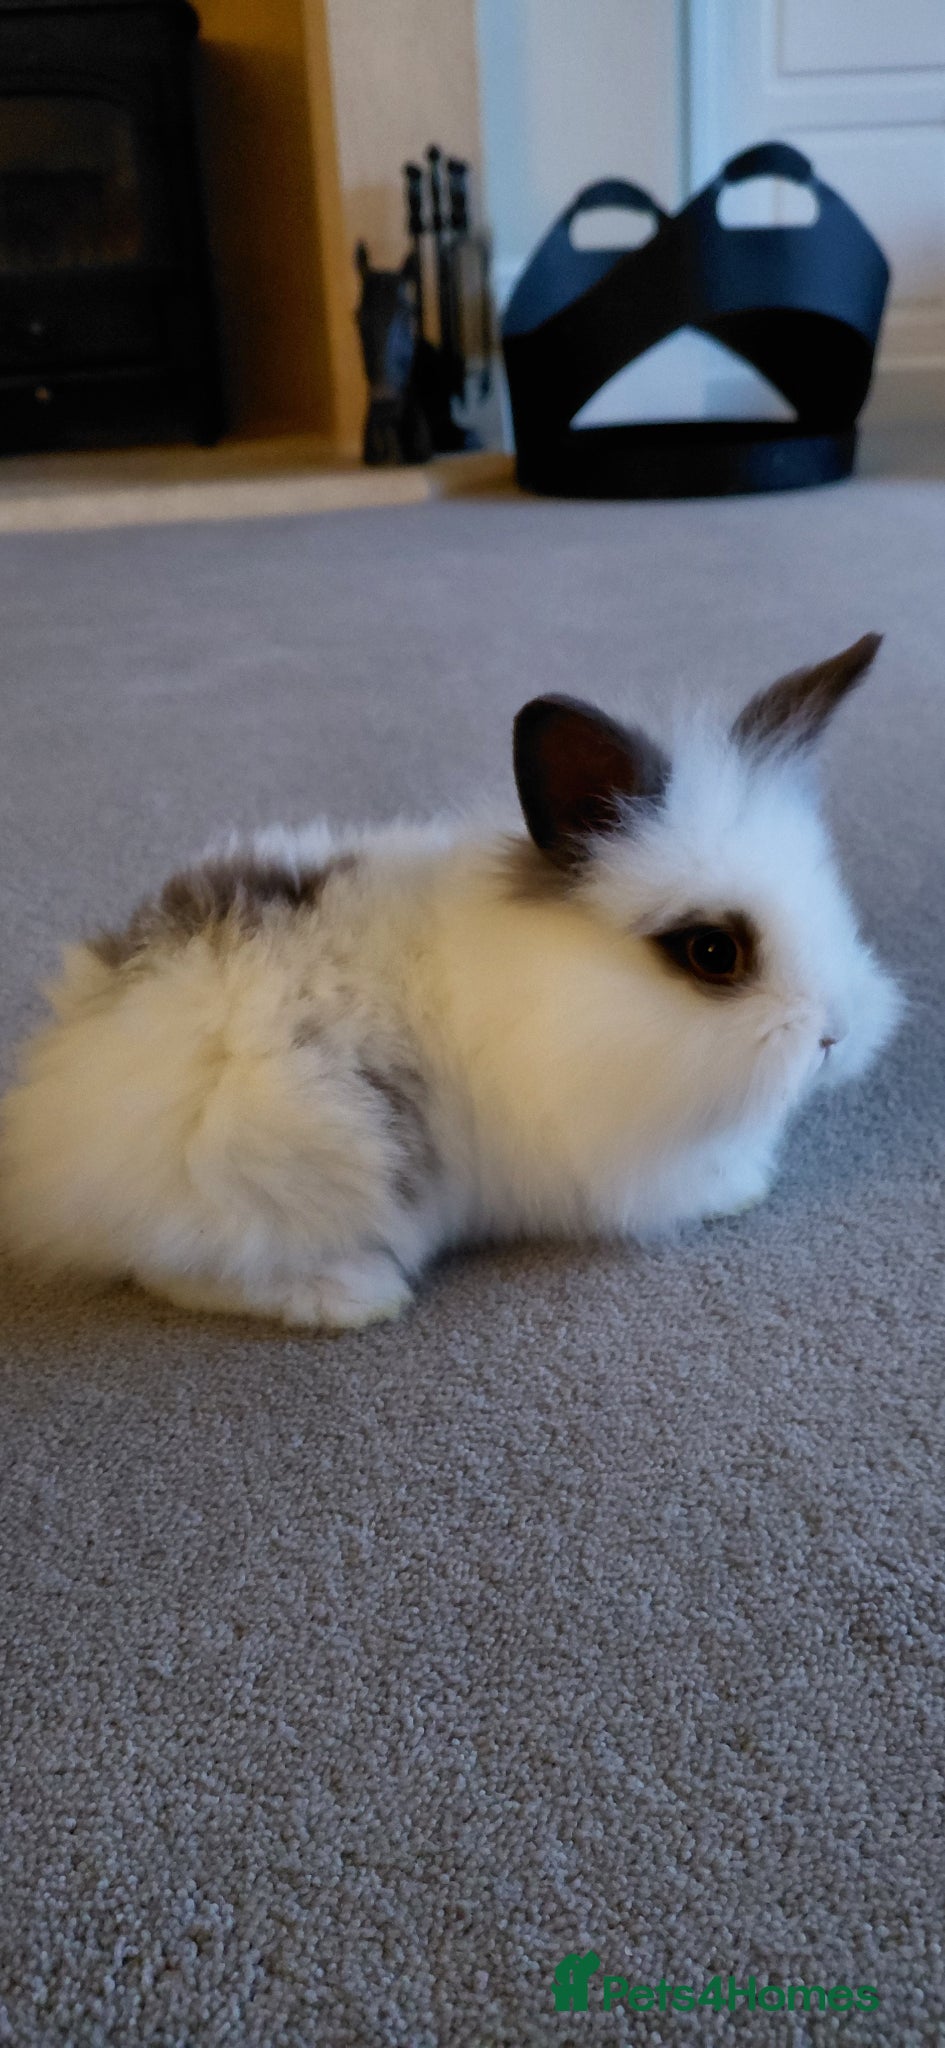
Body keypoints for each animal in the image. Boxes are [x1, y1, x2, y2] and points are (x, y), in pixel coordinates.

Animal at [0, 632, 902, 1332]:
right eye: (712, 952)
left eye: (831, 901)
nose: (834, 1035)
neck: (566, 994)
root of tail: (49, 1135)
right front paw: (739, 1190)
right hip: (286, 1153)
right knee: (186, 1267)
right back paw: (352, 1297)